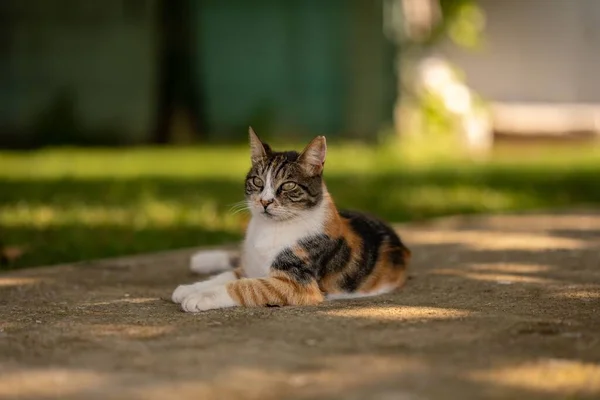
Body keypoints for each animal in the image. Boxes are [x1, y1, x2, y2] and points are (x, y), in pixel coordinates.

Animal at [171, 128, 410, 312]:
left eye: (288, 185)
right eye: (257, 181)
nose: (265, 201)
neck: (269, 229)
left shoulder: (298, 284)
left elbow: (244, 286)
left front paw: (199, 297)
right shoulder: (251, 267)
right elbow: (227, 275)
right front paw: (189, 288)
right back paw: (203, 259)